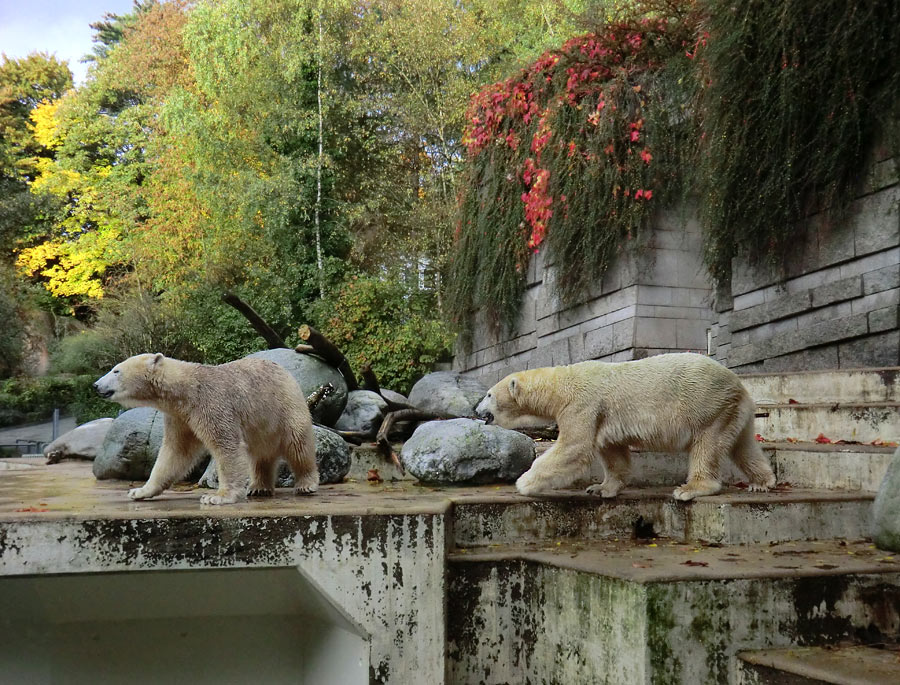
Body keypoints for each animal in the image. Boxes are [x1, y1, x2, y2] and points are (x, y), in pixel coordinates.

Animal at [93, 356, 318, 504]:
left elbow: (226, 446)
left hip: (285, 406)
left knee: (298, 444)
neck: (187, 390)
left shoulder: (212, 404)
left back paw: (306, 483)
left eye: (116, 371)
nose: (95, 385)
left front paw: (218, 497)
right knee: (260, 455)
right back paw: (259, 488)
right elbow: (176, 452)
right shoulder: (180, 417)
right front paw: (139, 491)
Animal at [474, 350, 776, 500]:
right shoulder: (602, 416)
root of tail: (741, 386)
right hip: (731, 411)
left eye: (488, 394)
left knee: (707, 447)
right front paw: (601, 489)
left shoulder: (582, 404)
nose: (477, 410)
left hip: (706, 406)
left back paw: (690, 489)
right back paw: (762, 482)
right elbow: (611, 451)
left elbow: (574, 447)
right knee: (742, 445)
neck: (561, 384)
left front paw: (524, 482)